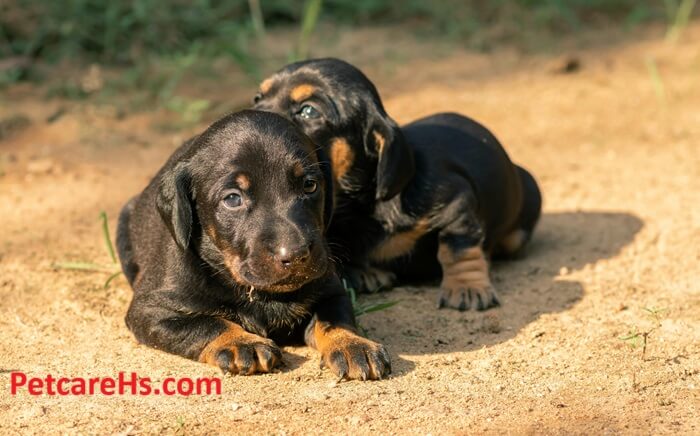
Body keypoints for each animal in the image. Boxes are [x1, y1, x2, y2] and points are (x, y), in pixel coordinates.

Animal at [115, 110, 388, 380]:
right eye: (233, 199)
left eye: (310, 185)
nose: (297, 255)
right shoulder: (150, 310)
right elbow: (207, 323)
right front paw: (242, 342)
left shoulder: (331, 290)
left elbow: (335, 319)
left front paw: (352, 343)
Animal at [254, 58, 544, 310]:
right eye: (258, 98)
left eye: (308, 110)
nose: (252, 119)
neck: (358, 205)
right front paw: (364, 272)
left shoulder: (457, 203)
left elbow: (458, 247)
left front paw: (467, 287)